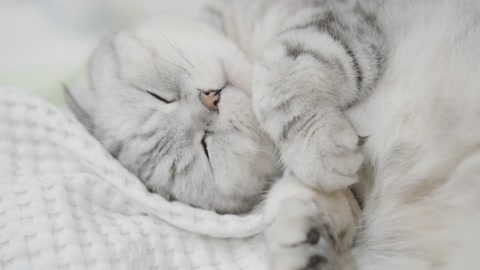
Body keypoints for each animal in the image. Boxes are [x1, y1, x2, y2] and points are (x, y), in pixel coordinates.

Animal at [65, 0, 480, 268]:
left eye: (157, 97)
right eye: (206, 150)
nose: (209, 101)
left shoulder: (335, 17)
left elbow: (279, 74)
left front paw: (317, 148)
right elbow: (311, 197)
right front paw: (306, 238)